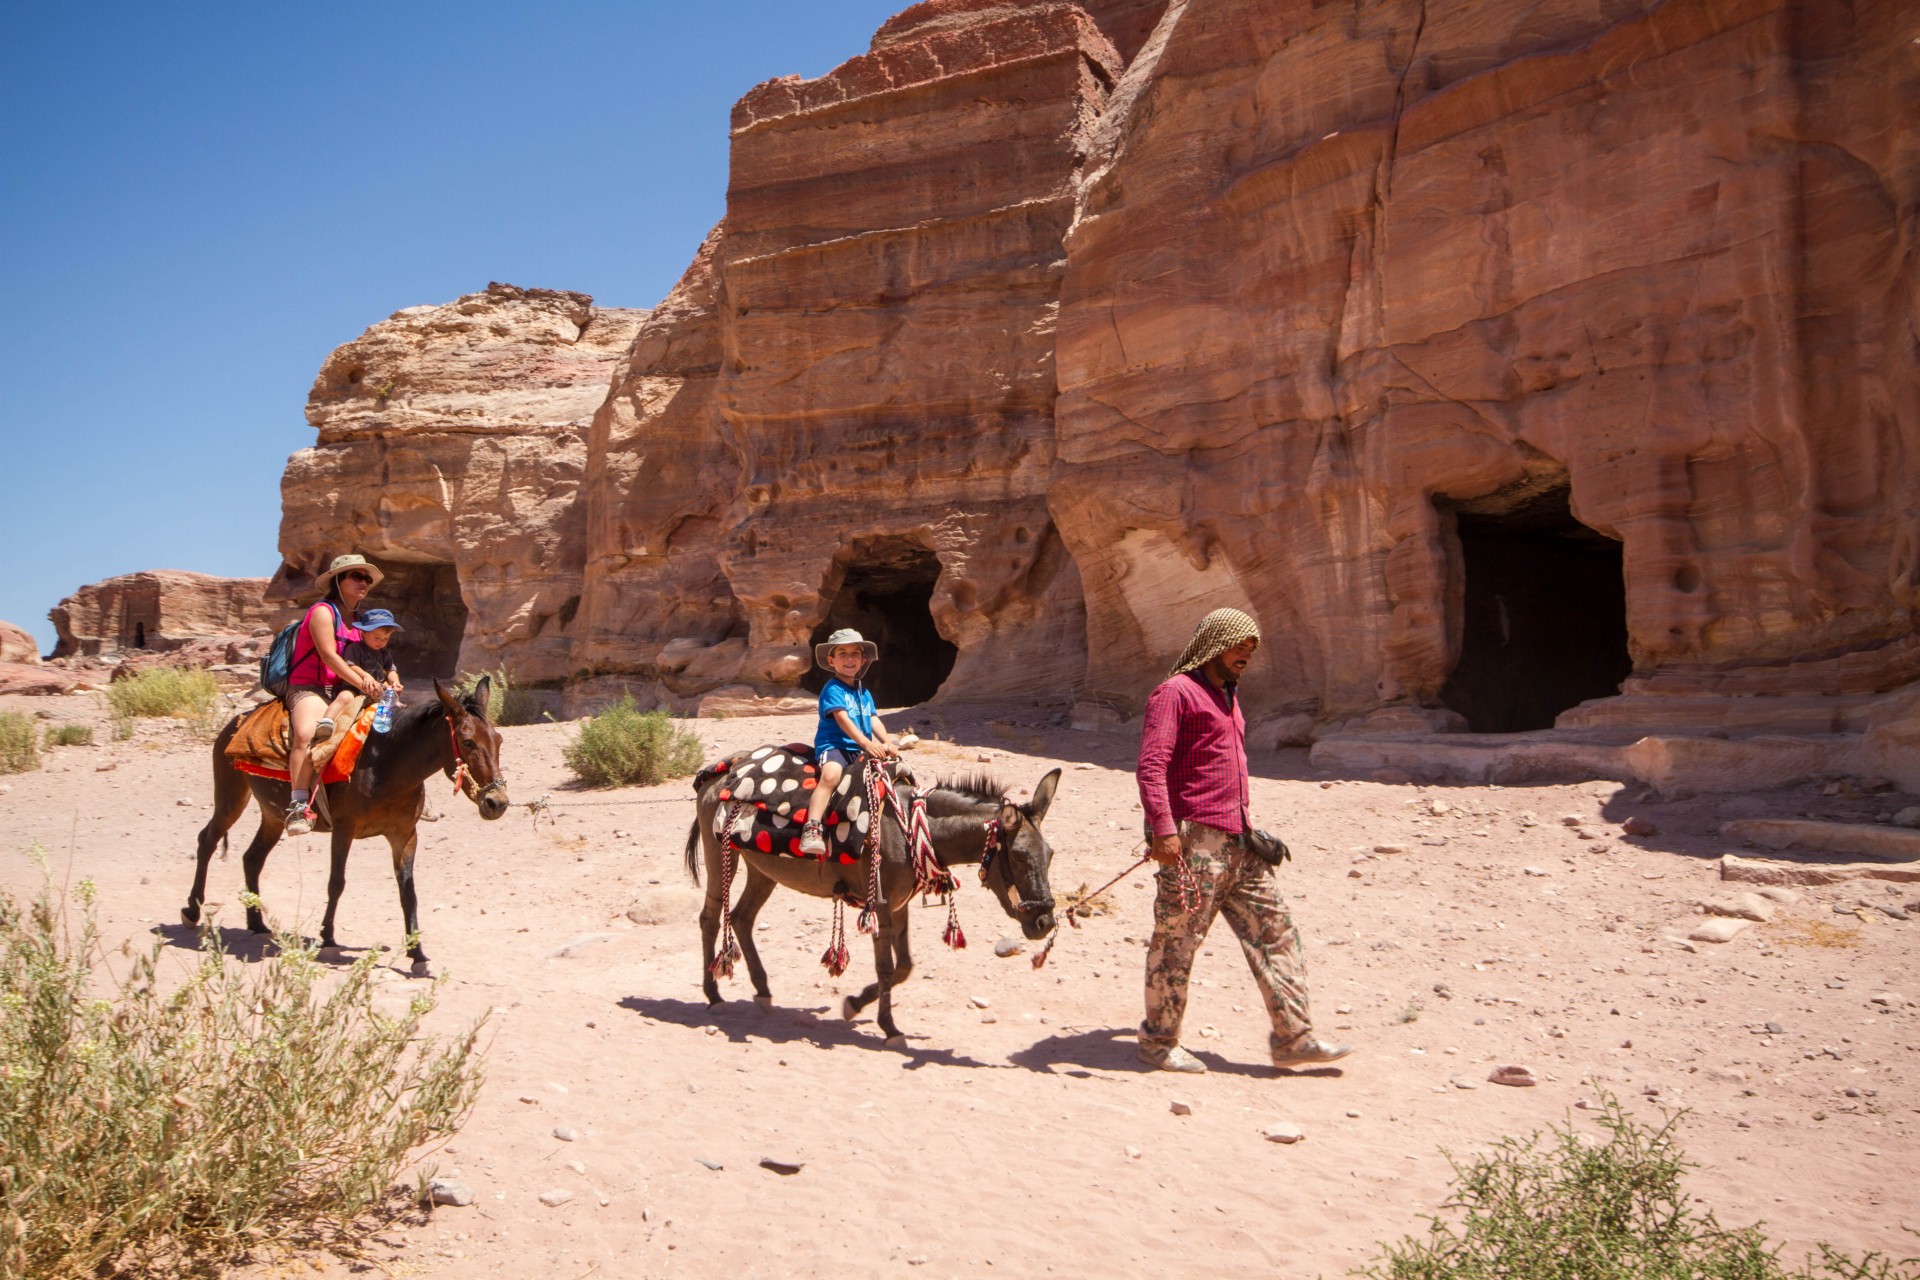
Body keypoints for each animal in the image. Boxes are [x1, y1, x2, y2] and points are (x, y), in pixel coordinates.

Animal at [180, 679, 506, 971]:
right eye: (467, 741)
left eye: (499, 740)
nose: (497, 802)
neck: (388, 766)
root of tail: (236, 721)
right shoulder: (343, 829)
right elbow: (336, 883)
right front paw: (327, 938)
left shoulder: (404, 835)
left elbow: (408, 892)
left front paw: (417, 954)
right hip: (230, 798)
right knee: (207, 840)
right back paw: (192, 910)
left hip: (272, 815)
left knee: (252, 858)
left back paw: (256, 922)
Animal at [683, 759, 1059, 1043]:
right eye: (1020, 857)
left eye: (1050, 854)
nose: (1044, 923)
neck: (912, 828)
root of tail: (717, 773)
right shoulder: (878, 905)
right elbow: (886, 967)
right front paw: (888, 1027)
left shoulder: (899, 904)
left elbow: (905, 966)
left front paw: (855, 1003)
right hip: (720, 855)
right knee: (710, 918)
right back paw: (713, 994)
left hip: (763, 869)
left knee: (742, 917)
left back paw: (762, 991)